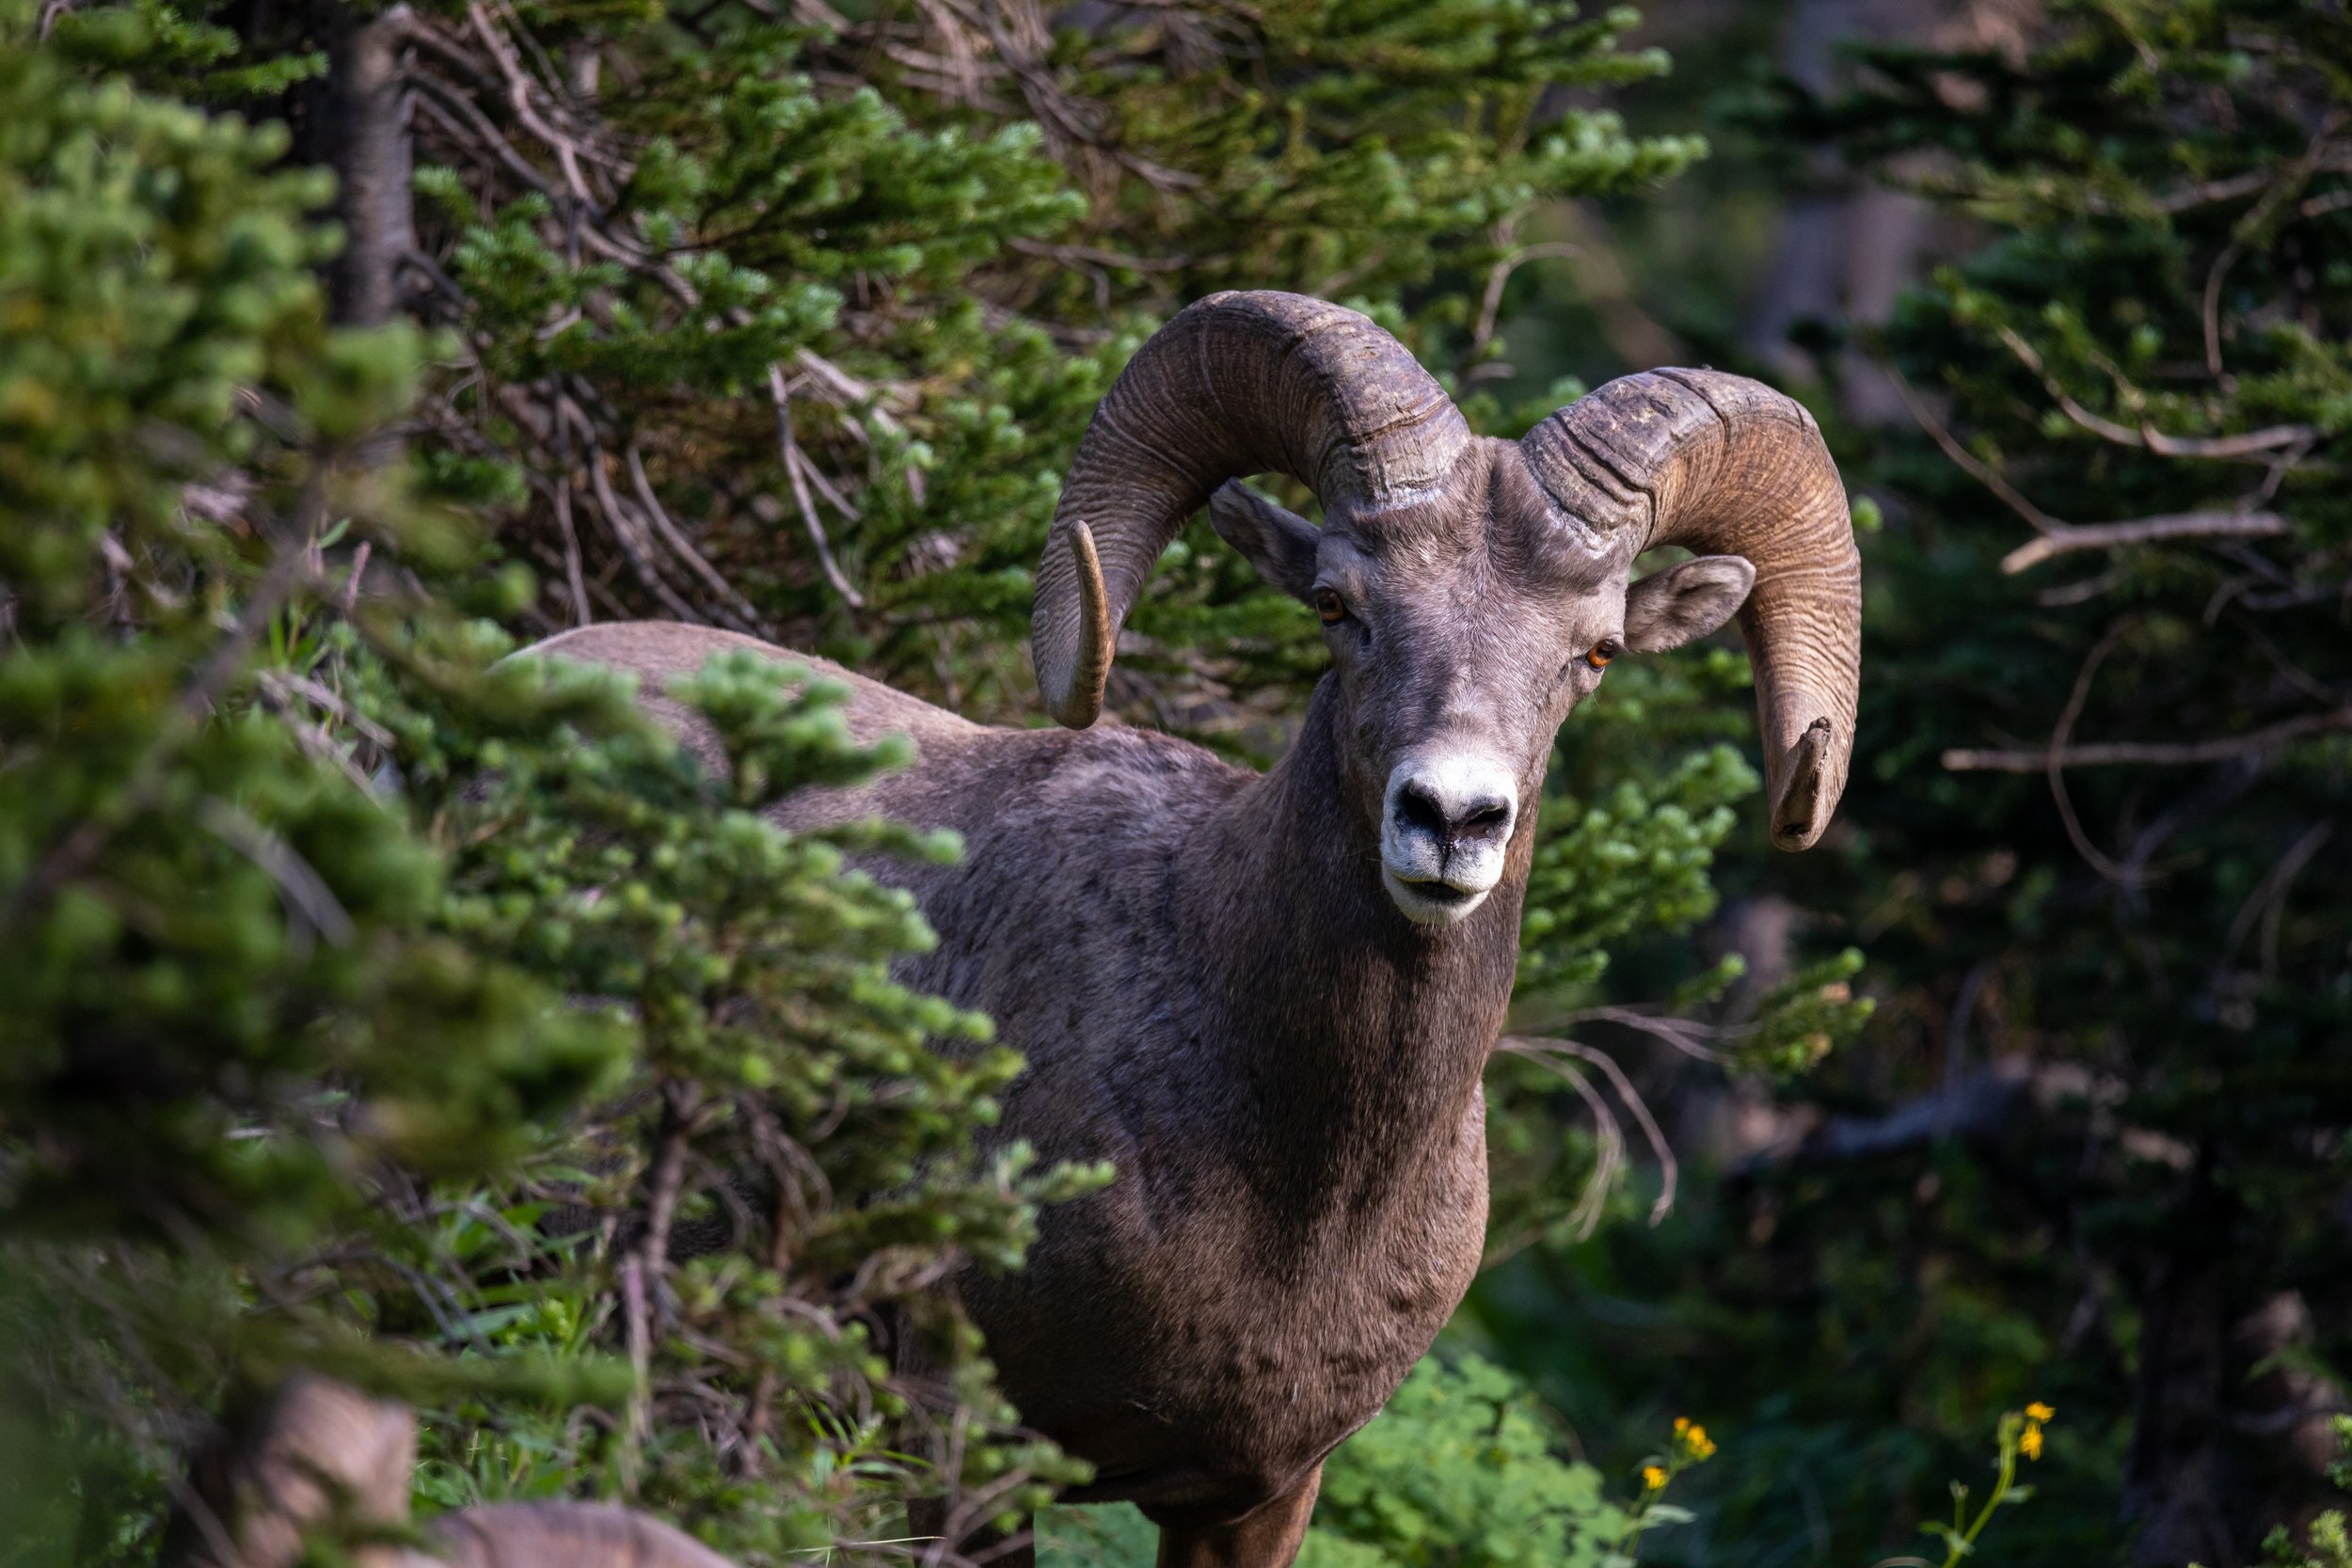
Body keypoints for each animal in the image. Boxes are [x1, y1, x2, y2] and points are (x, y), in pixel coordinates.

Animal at [529, 291, 1853, 1568]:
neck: (1293, 1185)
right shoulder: (960, 1442)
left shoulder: (1256, 1494)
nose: (1450, 818)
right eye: (1336, 603)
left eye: (1597, 650)